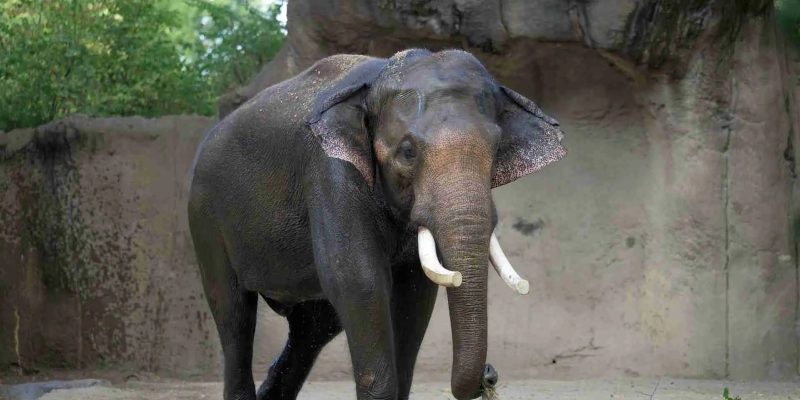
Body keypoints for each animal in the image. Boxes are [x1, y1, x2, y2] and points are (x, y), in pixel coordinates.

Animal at [187, 48, 566, 400]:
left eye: (496, 148)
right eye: (408, 152)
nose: (490, 374)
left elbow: (414, 292)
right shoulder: (329, 171)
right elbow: (360, 280)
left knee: (313, 328)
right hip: (206, 218)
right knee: (234, 314)